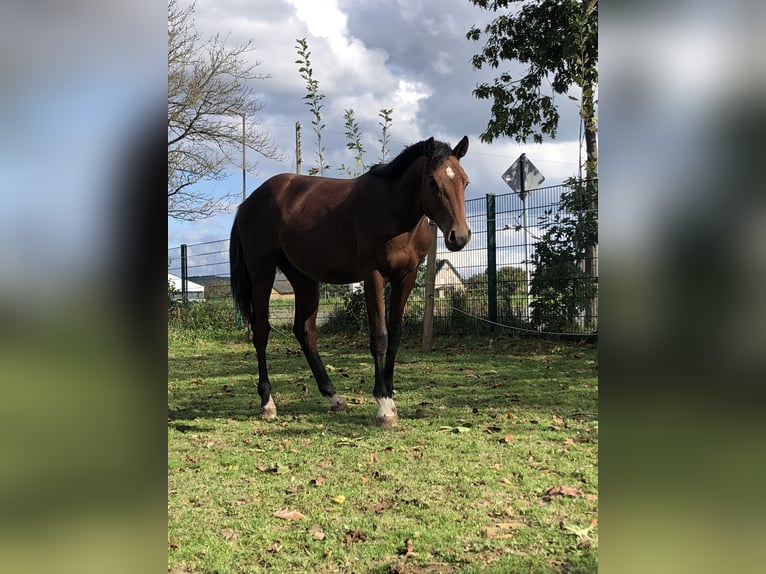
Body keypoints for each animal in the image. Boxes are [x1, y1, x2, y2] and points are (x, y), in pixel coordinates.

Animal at [228, 137, 472, 428]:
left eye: (465, 181)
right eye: (433, 182)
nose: (459, 236)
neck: (392, 209)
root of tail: (248, 203)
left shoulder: (406, 277)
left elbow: (395, 335)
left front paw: (390, 396)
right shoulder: (373, 277)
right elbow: (380, 336)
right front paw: (383, 406)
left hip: (304, 278)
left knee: (305, 331)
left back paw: (333, 396)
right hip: (261, 273)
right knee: (261, 331)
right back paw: (267, 402)